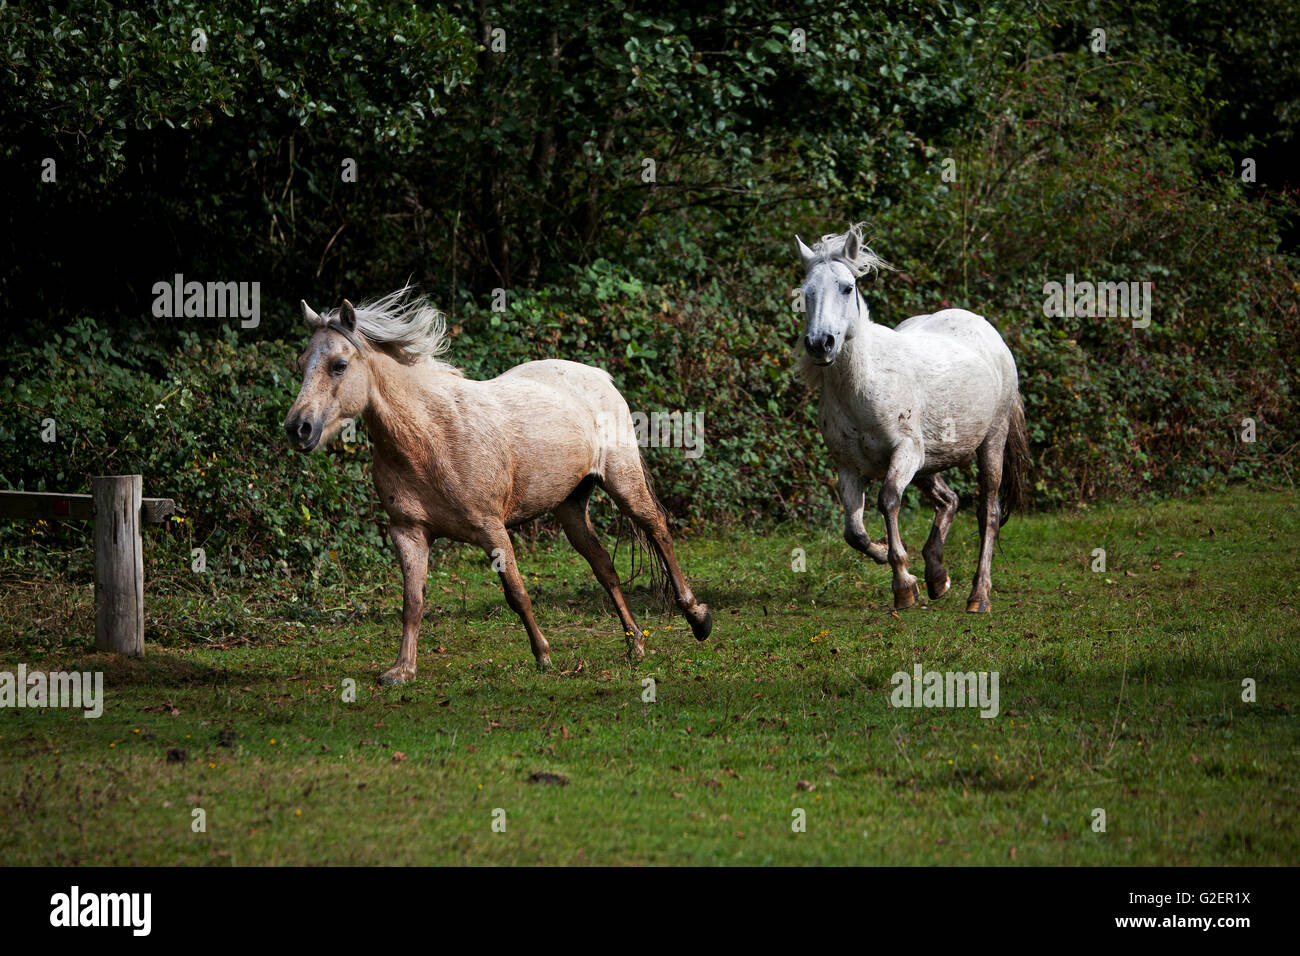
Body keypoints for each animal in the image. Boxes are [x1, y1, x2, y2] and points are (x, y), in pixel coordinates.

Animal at [283, 287, 712, 686]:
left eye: (339, 365)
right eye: (302, 364)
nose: (298, 428)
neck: (428, 438)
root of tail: (599, 376)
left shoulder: (492, 530)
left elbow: (517, 593)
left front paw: (543, 656)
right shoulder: (409, 532)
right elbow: (412, 602)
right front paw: (401, 670)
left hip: (623, 481)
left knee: (658, 530)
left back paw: (698, 618)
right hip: (570, 506)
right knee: (604, 567)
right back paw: (635, 643)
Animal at [790, 223, 1024, 613]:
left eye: (847, 287)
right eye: (806, 292)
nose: (820, 344)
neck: (864, 384)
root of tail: (984, 328)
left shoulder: (905, 451)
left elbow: (887, 501)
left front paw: (903, 585)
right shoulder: (849, 467)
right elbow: (853, 532)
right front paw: (892, 559)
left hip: (990, 441)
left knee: (988, 513)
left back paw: (978, 596)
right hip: (929, 461)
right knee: (949, 500)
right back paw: (937, 576)